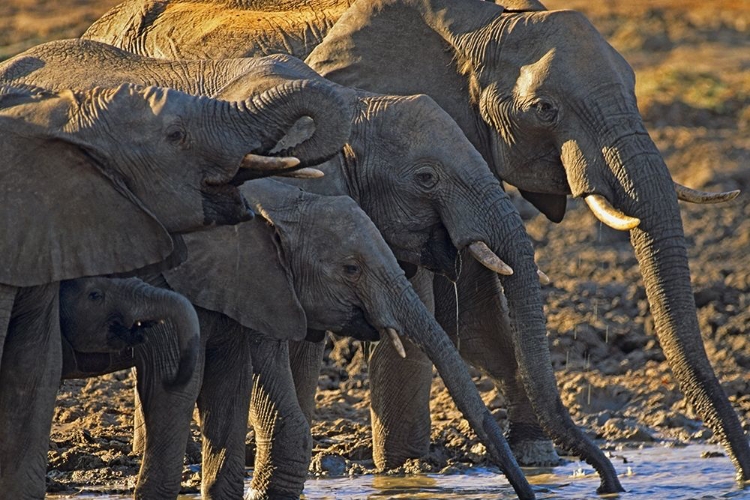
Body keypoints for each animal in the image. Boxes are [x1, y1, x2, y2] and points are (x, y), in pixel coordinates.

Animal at [78, 0, 750, 484]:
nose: (742, 474)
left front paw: (535, 457)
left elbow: (477, 302)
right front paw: (405, 474)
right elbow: (430, 304)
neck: (482, 25)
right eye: (545, 108)